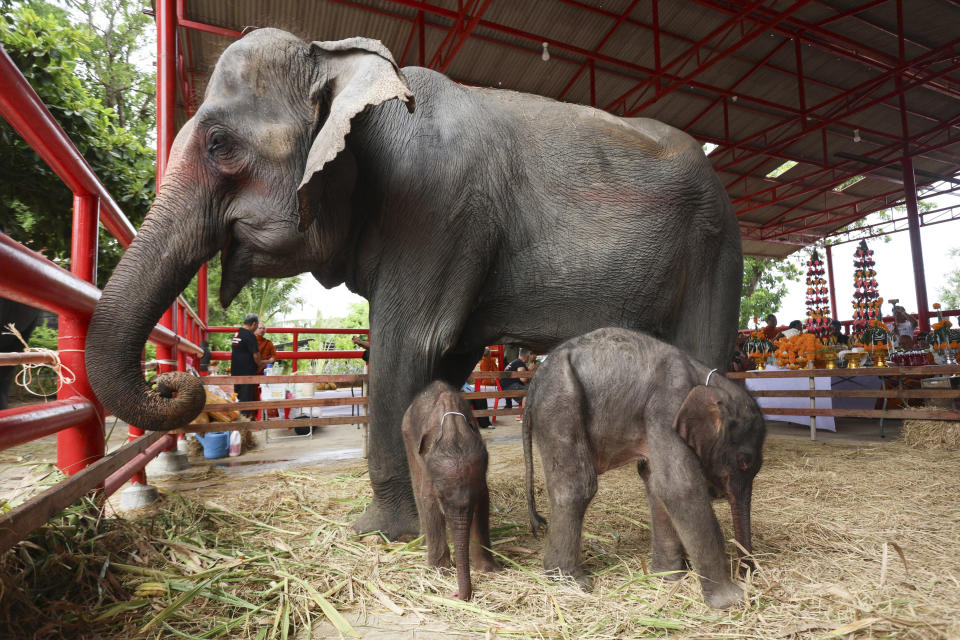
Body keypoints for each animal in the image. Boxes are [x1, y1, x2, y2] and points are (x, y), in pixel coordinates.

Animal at [84, 30, 744, 540]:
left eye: (220, 145)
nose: (176, 380)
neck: (342, 63)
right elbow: (442, 364)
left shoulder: (436, 210)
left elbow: (408, 347)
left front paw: (379, 532)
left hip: (716, 244)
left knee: (703, 354)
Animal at [402, 380, 498, 600]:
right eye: (441, 497)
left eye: (475, 495)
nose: (455, 594)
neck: (453, 427)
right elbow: (427, 498)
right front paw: (441, 571)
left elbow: (484, 503)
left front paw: (488, 570)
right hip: (406, 434)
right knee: (416, 485)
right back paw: (423, 542)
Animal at [520, 330, 768, 608]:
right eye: (744, 461)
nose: (748, 573)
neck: (706, 378)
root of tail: (535, 382)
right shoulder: (667, 405)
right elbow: (679, 487)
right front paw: (733, 601)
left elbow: (656, 483)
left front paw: (668, 578)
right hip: (560, 403)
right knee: (577, 486)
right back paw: (571, 583)